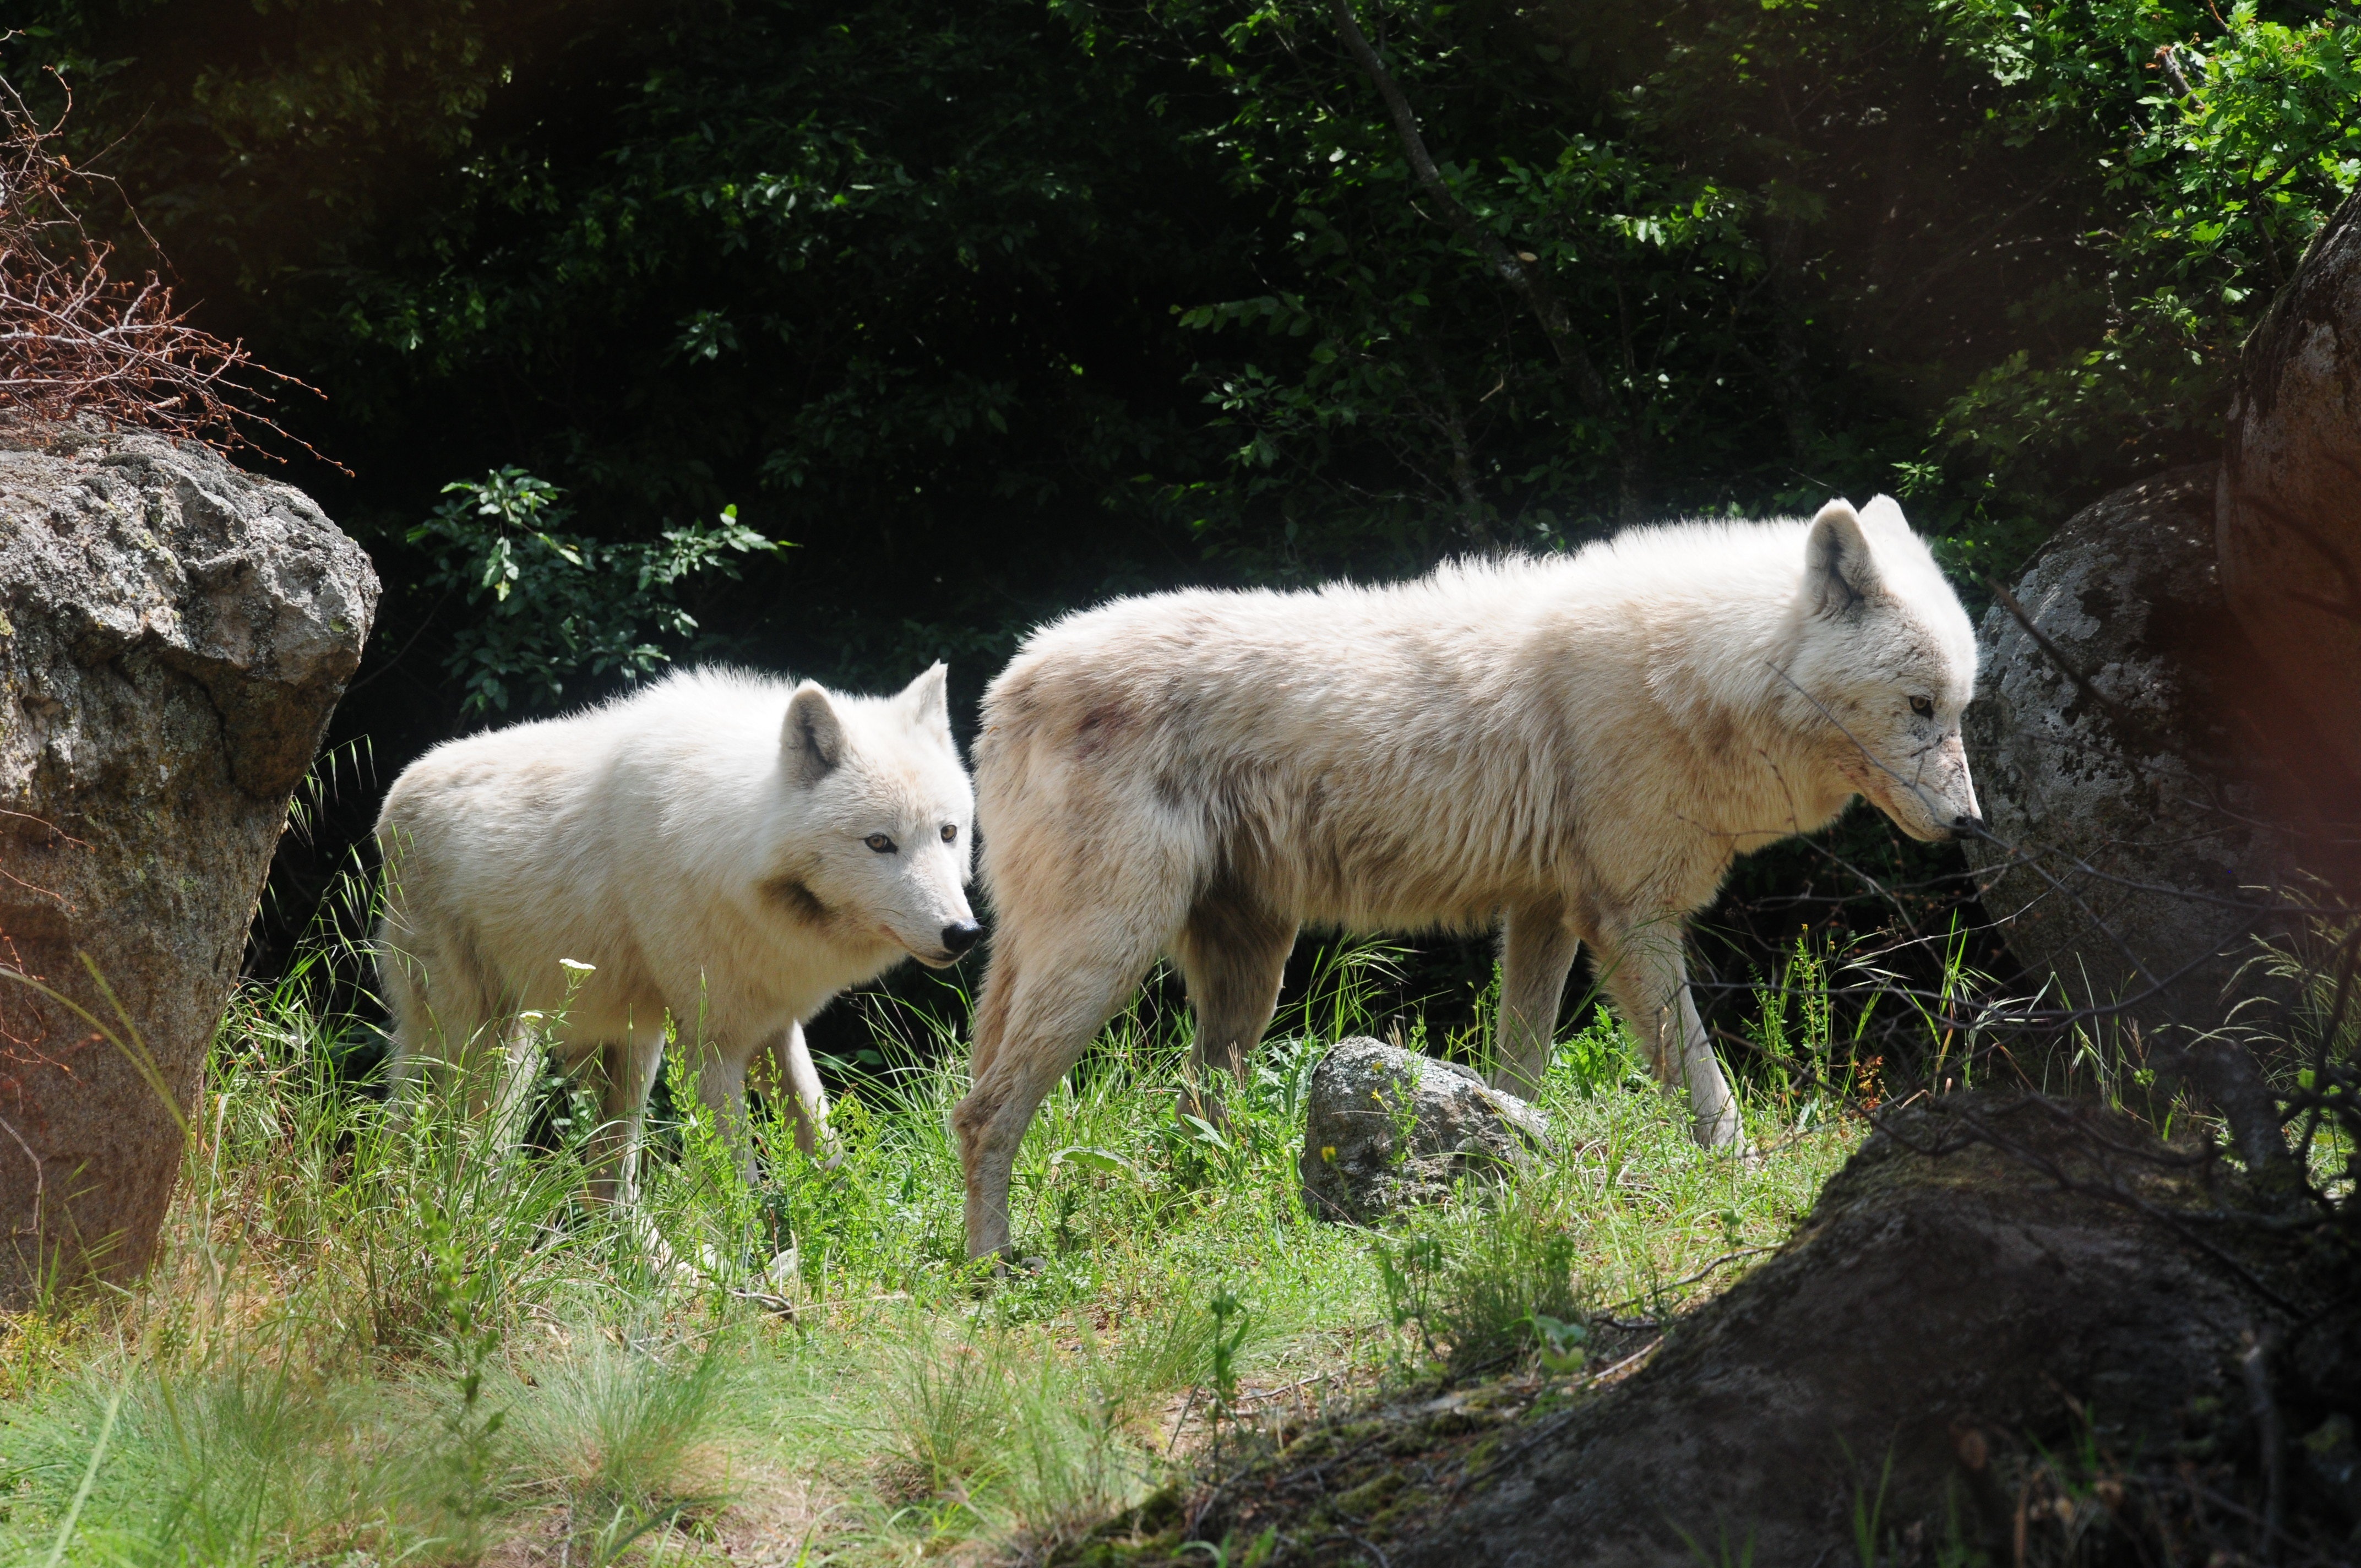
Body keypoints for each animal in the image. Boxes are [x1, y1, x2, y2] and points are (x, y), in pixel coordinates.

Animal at [373, 666, 972, 1199]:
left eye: (948, 832)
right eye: (880, 843)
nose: (963, 933)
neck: (727, 843)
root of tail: (396, 792)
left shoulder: (774, 1028)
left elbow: (829, 1155)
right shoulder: (710, 1046)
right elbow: (738, 1191)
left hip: (623, 1047)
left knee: (602, 1186)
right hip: (482, 1048)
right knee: (438, 1147)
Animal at [949, 496, 1983, 1256]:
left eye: (1960, 706)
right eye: (1919, 705)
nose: (1972, 823)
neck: (1701, 670)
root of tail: (1006, 683)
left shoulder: (1546, 916)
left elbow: (1518, 1068)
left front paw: (1511, 1157)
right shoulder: (1632, 920)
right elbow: (1704, 1082)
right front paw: (1743, 1178)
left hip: (1244, 976)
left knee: (1186, 1111)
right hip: (1112, 954)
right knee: (983, 1112)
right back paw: (994, 1268)